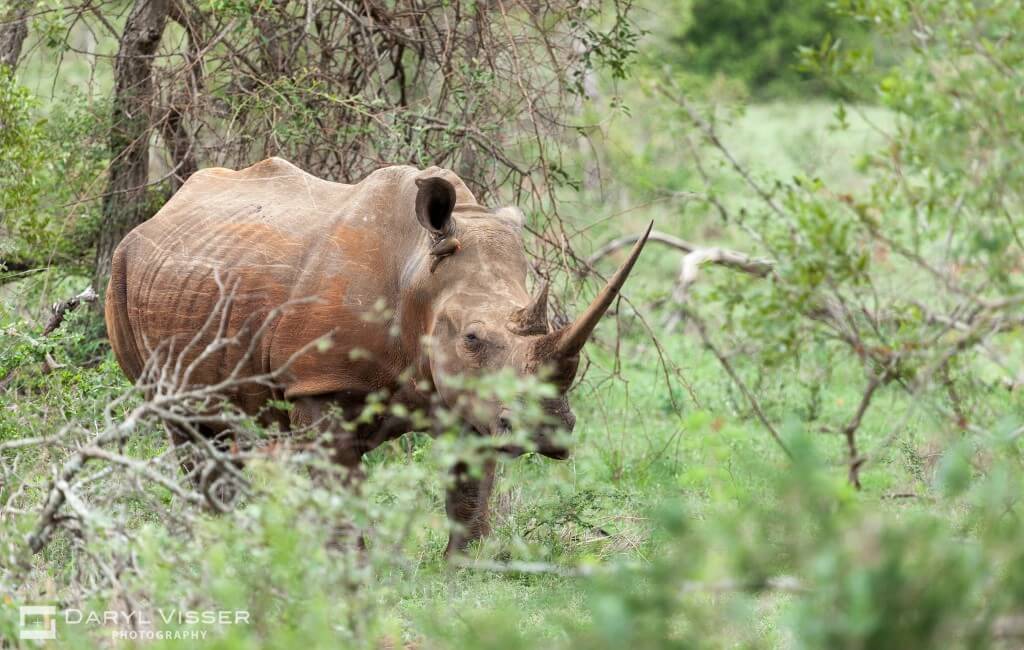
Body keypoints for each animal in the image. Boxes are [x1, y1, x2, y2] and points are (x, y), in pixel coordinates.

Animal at [105, 157, 651, 555]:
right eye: (472, 338)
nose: (547, 432)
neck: (420, 282)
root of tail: (160, 214)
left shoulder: (470, 399)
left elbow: (470, 489)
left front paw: (466, 566)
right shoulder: (317, 382)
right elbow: (338, 484)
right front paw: (349, 568)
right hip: (122, 271)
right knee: (188, 423)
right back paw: (223, 544)